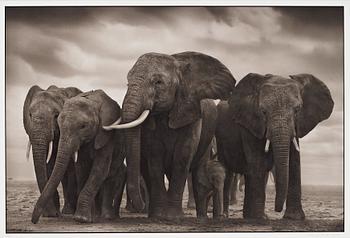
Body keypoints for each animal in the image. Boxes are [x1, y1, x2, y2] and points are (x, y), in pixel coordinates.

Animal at [22, 85, 81, 216]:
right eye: (30, 115)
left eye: (56, 116)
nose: (53, 213)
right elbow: (47, 163)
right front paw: (50, 214)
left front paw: (61, 213)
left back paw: (68, 211)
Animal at [31, 90, 126, 224]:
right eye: (59, 123)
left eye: (83, 126)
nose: (33, 221)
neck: (92, 102)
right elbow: (81, 170)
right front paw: (88, 217)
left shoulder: (106, 135)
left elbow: (99, 169)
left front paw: (82, 218)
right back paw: (98, 215)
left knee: (110, 176)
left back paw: (107, 217)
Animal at [103, 51, 235, 218]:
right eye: (127, 82)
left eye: (158, 82)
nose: (138, 207)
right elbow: (155, 156)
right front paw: (160, 216)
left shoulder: (191, 112)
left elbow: (183, 156)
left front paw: (173, 217)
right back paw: (153, 213)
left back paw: (200, 217)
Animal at [216, 73, 334, 219]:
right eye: (263, 111)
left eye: (297, 110)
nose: (277, 210)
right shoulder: (250, 123)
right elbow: (258, 162)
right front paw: (259, 219)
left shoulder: (296, 125)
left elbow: (294, 161)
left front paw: (294, 218)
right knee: (229, 173)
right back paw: (227, 215)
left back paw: (249, 216)